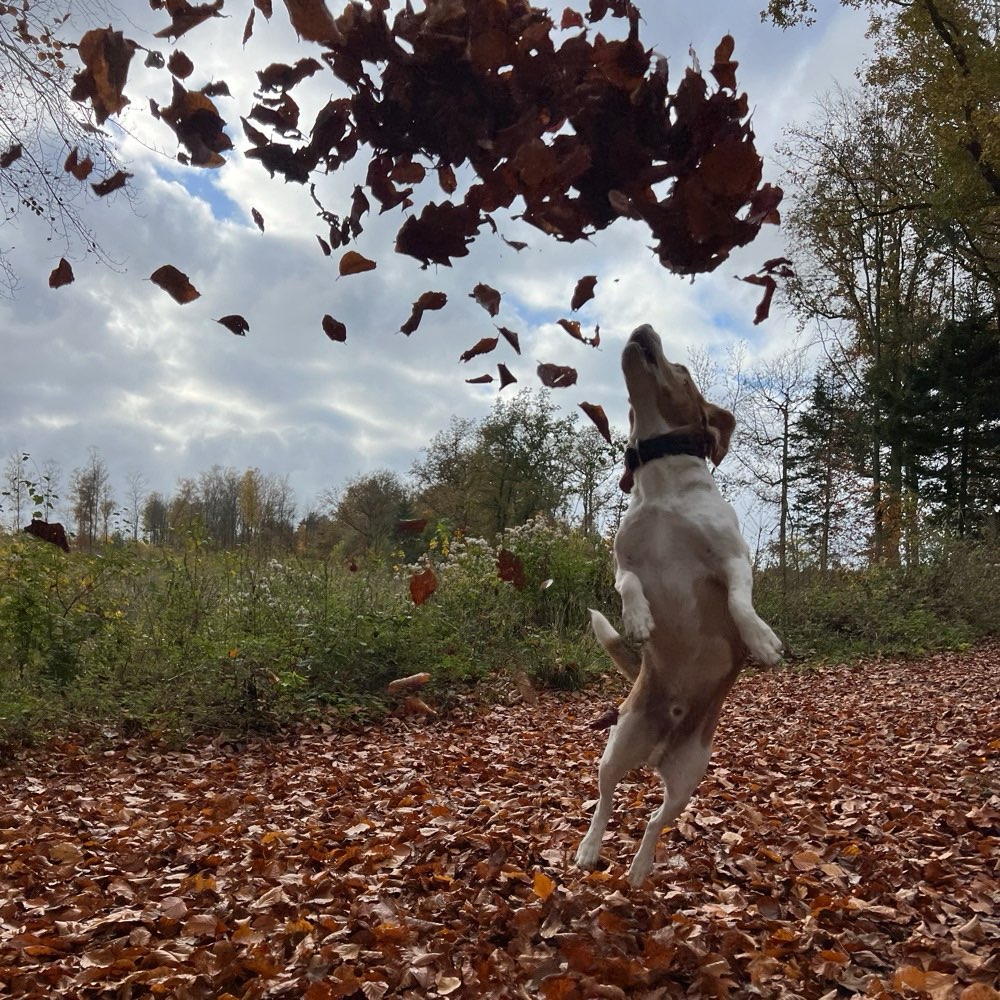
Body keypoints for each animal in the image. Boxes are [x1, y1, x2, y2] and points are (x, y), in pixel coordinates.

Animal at [580, 324, 780, 888]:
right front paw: (639, 619)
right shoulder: (624, 561)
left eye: (683, 369)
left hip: (690, 776)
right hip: (618, 746)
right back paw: (589, 848)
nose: (643, 328)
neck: (664, 487)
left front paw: (760, 638)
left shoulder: (733, 558)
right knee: (605, 799)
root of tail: (660, 747)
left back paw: (641, 867)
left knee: (653, 820)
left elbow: (739, 600)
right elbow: (629, 586)